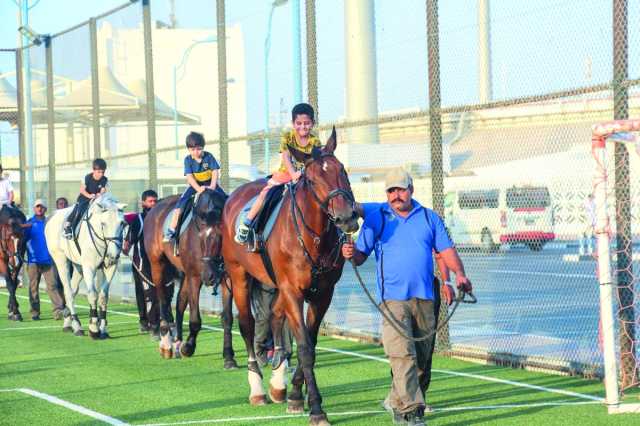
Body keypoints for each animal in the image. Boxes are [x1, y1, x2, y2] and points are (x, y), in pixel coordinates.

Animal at [45, 194, 126, 340]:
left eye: (122, 223)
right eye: (103, 224)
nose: (113, 255)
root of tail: (52, 216)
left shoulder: (110, 268)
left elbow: (103, 296)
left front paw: (103, 328)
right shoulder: (89, 267)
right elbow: (92, 294)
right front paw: (93, 328)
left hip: (78, 267)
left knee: (73, 290)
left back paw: (68, 323)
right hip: (61, 260)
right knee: (68, 292)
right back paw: (77, 326)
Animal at [142, 188, 238, 368]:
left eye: (221, 236)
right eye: (200, 235)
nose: (209, 276)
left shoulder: (227, 278)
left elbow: (227, 318)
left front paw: (229, 356)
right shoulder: (194, 276)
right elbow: (194, 319)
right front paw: (189, 346)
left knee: (180, 301)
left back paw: (178, 340)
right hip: (158, 264)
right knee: (162, 299)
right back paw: (166, 342)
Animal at [222, 130, 358, 426]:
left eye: (342, 170)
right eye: (313, 179)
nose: (347, 218)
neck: (313, 237)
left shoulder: (323, 293)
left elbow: (311, 342)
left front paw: (295, 394)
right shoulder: (293, 291)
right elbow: (305, 347)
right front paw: (316, 408)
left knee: (275, 317)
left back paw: (277, 384)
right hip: (239, 276)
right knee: (247, 325)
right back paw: (257, 388)